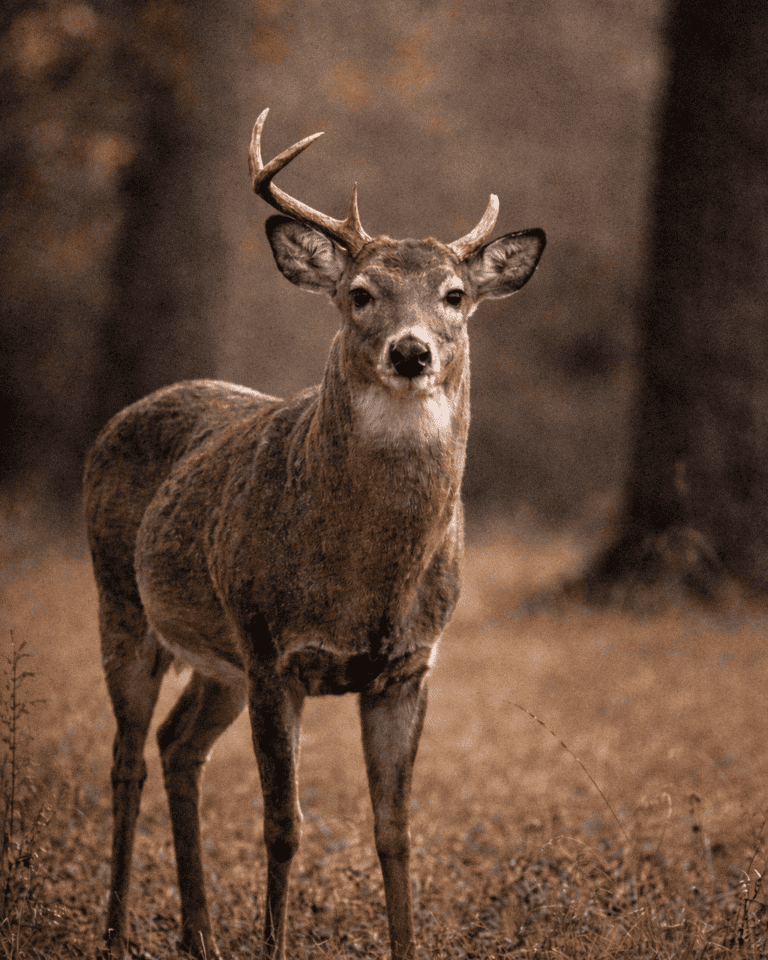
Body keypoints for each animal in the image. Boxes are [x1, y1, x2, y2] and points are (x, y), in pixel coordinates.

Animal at [83, 108, 545, 960]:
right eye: (360, 293)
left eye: (455, 295)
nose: (411, 350)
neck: (368, 581)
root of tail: (130, 410)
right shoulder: (274, 652)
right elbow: (283, 827)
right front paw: (271, 943)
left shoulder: (407, 667)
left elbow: (395, 832)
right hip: (124, 605)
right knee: (128, 758)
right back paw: (116, 931)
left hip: (220, 659)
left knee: (177, 746)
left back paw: (200, 935)